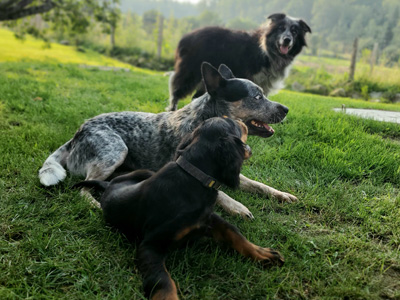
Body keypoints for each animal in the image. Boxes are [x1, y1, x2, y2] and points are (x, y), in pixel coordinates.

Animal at [39, 62, 296, 219]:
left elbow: (259, 185)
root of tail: (77, 133)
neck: (204, 124)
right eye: (257, 97)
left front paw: (283, 195)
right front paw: (238, 206)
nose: (286, 109)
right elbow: (219, 191)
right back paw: (94, 203)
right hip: (116, 150)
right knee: (83, 187)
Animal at [73, 118, 282, 300]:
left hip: (145, 172)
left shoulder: (208, 217)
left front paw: (263, 254)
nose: (240, 120)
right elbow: (163, 281)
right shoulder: (150, 246)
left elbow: (234, 233)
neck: (193, 178)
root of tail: (108, 185)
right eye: (231, 122)